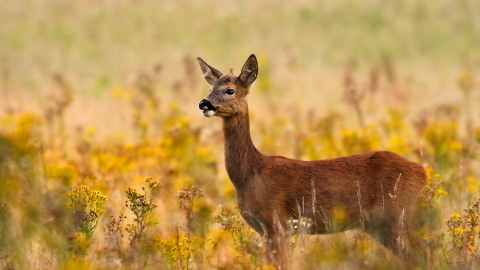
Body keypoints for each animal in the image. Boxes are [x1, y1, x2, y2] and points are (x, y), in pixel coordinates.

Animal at [197, 54, 426, 268]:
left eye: (229, 90)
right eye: (210, 87)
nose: (204, 103)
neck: (250, 174)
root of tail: (423, 172)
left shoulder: (276, 222)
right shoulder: (266, 230)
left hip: (397, 215)